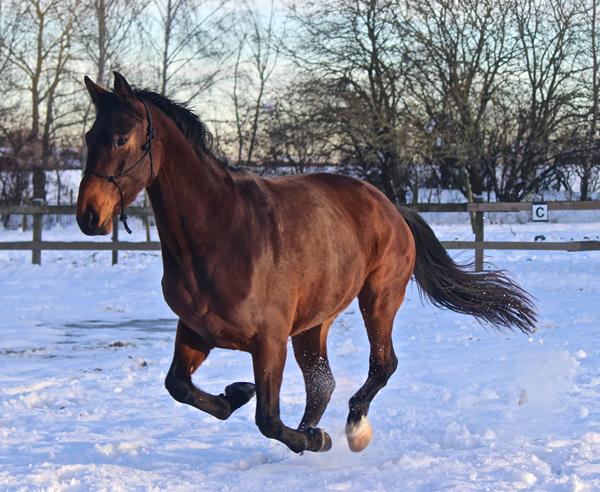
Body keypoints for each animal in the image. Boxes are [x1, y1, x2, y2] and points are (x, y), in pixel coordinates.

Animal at [76, 72, 540, 454]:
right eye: (87, 137)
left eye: (121, 138)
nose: (88, 216)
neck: (219, 234)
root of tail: (390, 206)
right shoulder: (196, 329)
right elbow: (179, 386)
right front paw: (237, 392)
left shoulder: (269, 340)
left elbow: (267, 419)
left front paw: (313, 438)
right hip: (314, 322)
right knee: (322, 382)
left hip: (378, 298)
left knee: (381, 365)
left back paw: (351, 430)